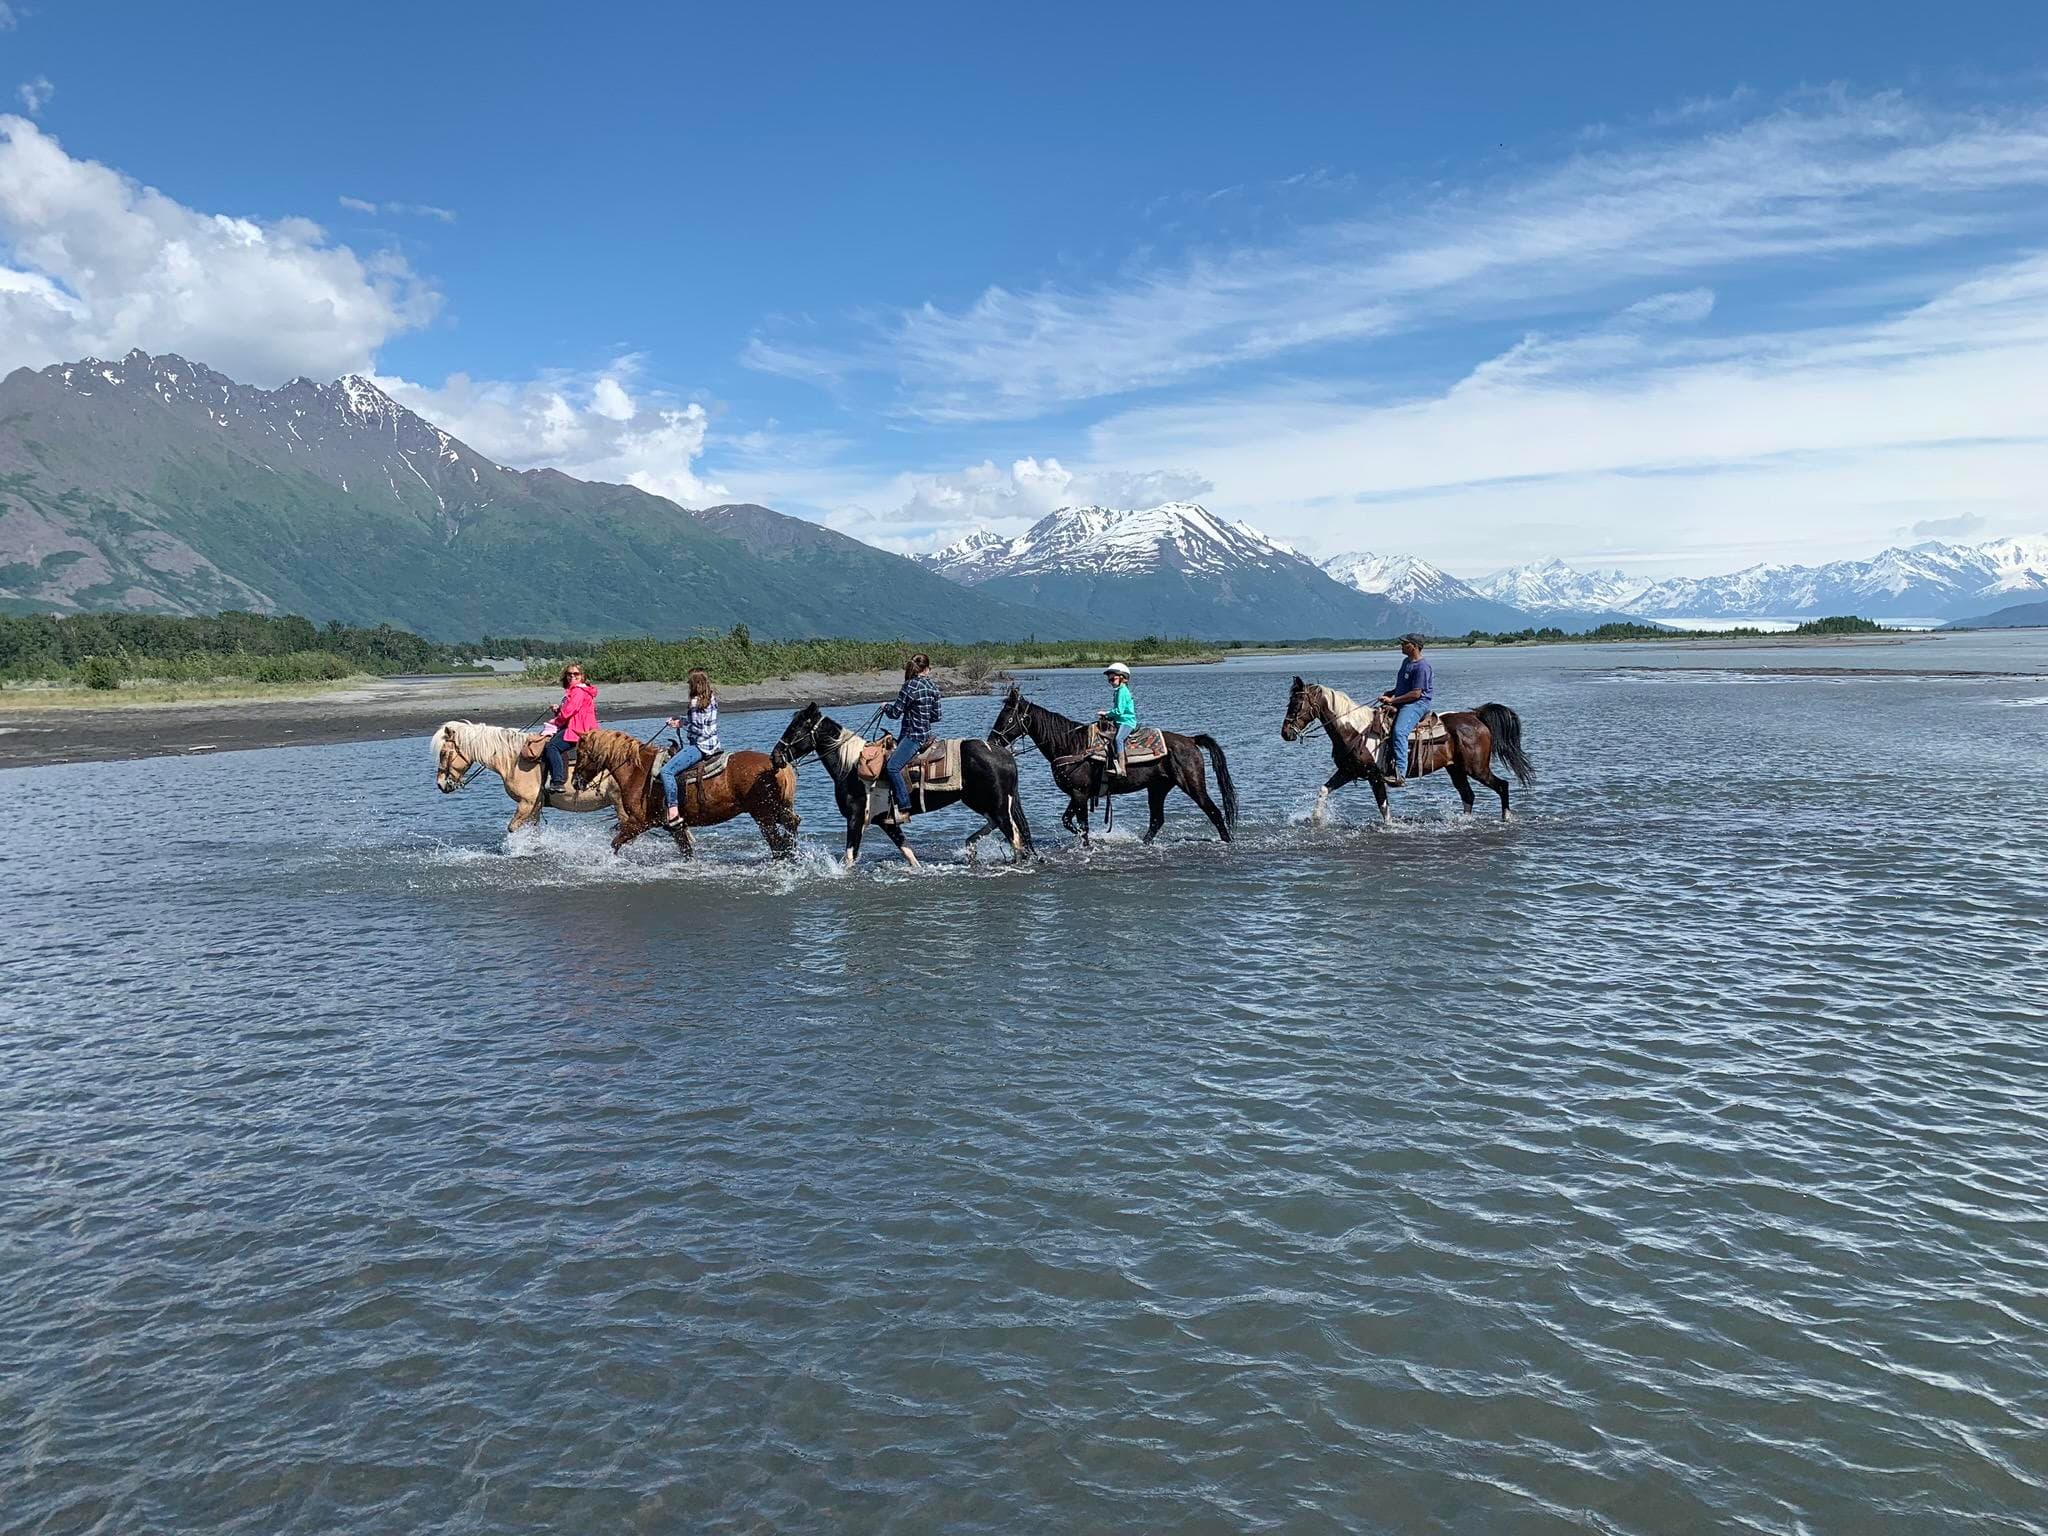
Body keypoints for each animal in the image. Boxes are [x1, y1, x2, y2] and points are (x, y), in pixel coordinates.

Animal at [431, 719, 631, 834]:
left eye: (443, 753)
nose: (441, 784)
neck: (514, 760)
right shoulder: (535, 806)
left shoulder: (527, 803)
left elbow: (513, 828)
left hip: (620, 804)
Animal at [571, 727, 800, 856]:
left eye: (581, 753)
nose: (574, 781)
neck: (639, 771)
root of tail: (776, 765)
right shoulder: (674, 828)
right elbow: (686, 851)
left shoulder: (638, 823)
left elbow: (615, 844)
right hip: (774, 810)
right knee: (791, 825)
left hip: (763, 814)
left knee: (778, 842)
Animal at [770, 703, 1032, 867]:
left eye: (796, 729)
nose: (775, 756)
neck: (851, 766)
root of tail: (1004, 754)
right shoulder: (886, 821)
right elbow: (908, 852)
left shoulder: (856, 818)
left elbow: (849, 857)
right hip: (985, 803)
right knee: (1000, 827)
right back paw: (970, 847)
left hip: (997, 805)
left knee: (1015, 838)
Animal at [989, 684, 1237, 845]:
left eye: (1008, 717)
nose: (993, 740)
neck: (1072, 746)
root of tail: (1191, 740)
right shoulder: (1077, 794)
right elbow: (1068, 822)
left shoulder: (1079, 794)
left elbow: (1082, 825)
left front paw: (1087, 845)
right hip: (1158, 788)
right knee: (1157, 820)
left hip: (1192, 785)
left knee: (1214, 812)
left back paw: (1228, 841)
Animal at [1279, 677, 1533, 823]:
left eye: (1296, 703)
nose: (1285, 732)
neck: (1354, 730)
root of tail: (1476, 716)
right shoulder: (1349, 771)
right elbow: (1324, 790)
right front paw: (1315, 819)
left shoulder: (1374, 776)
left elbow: (1383, 807)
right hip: (1456, 769)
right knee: (1468, 795)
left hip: (1476, 768)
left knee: (1502, 785)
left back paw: (1506, 818)